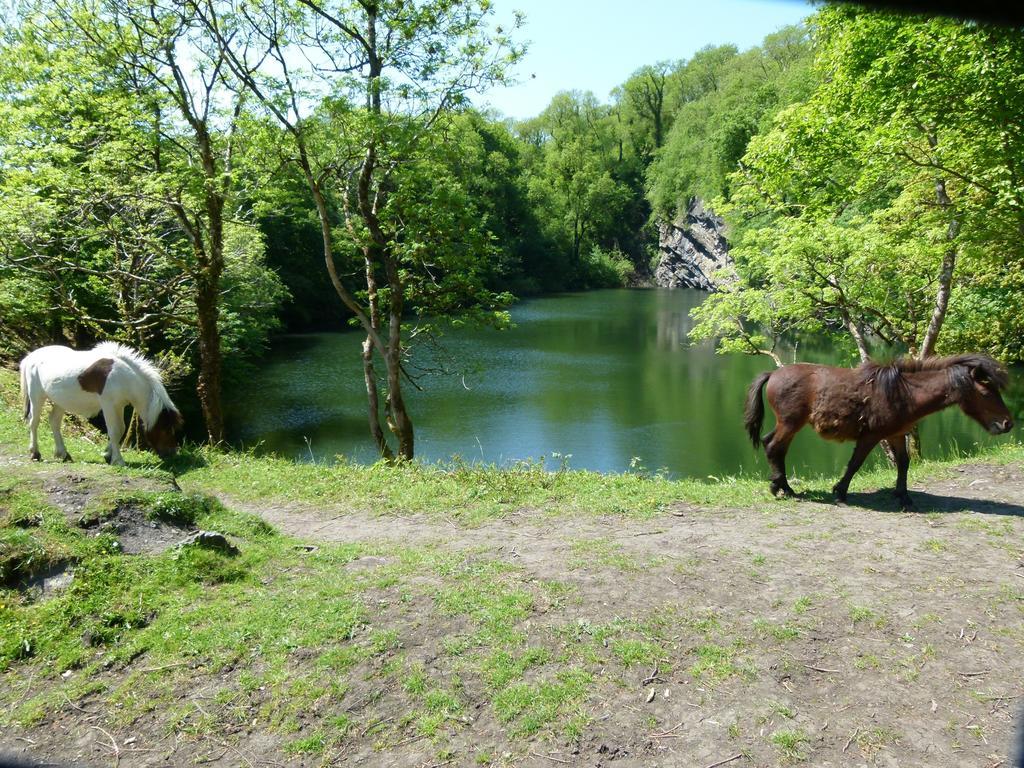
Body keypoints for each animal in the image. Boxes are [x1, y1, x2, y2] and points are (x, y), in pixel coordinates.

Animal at [20, 344, 184, 466]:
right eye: (166, 429)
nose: (172, 453)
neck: (123, 377)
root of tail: (30, 357)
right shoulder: (108, 405)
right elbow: (114, 431)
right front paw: (118, 460)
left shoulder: (119, 406)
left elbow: (121, 429)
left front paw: (108, 454)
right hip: (37, 397)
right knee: (34, 422)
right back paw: (35, 453)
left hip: (61, 401)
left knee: (54, 421)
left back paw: (63, 454)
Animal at [745, 356, 1015, 512]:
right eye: (986, 393)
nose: (1008, 423)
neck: (904, 393)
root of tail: (773, 374)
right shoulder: (871, 437)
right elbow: (855, 464)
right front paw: (840, 492)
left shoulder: (896, 435)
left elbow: (903, 463)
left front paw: (903, 496)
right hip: (790, 423)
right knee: (774, 447)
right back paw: (782, 488)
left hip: (790, 424)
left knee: (773, 445)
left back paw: (783, 486)